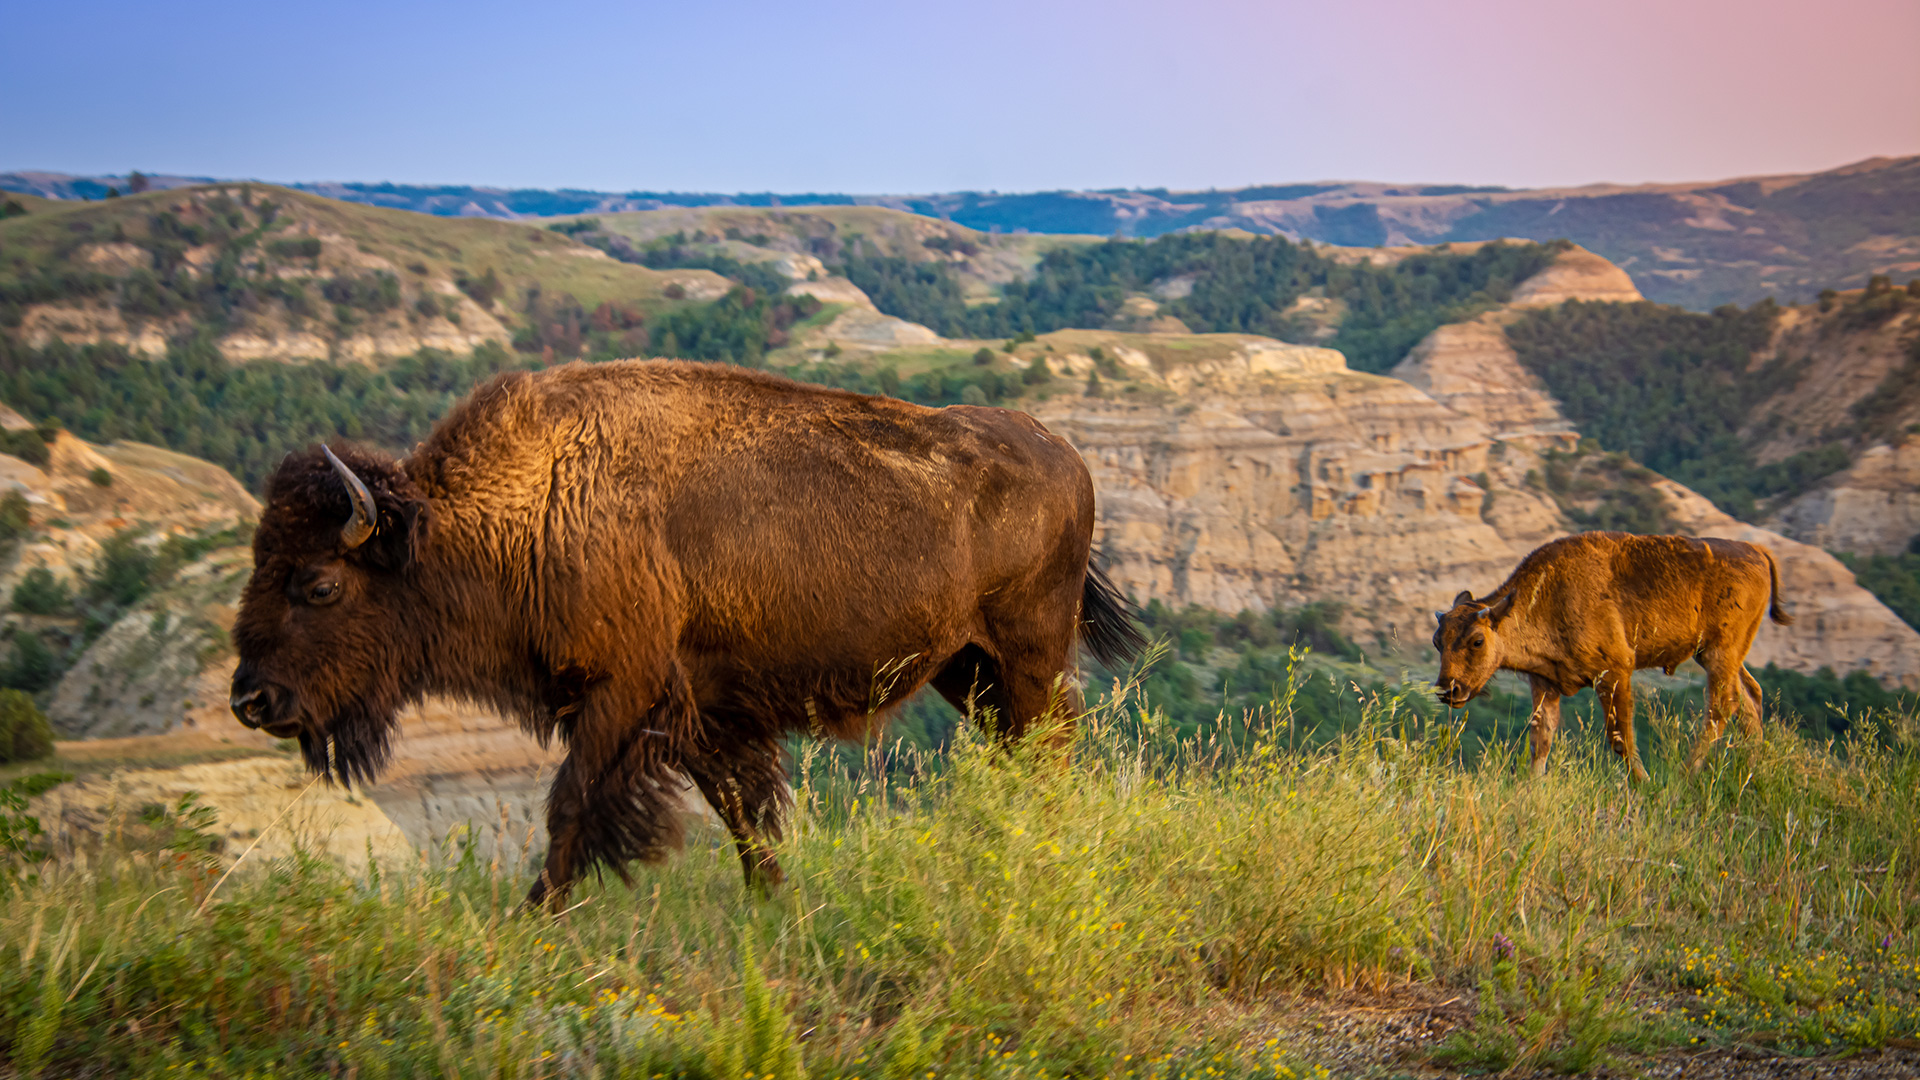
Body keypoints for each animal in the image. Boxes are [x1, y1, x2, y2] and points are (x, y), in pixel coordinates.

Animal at [230, 360, 1144, 906]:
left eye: (318, 584)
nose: (250, 700)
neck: (533, 502)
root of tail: (1065, 451)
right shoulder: (700, 710)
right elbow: (741, 811)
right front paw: (771, 900)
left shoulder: (623, 694)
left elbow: (572, 806)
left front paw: (535, 917)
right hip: (966, 666)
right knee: (1024, 744)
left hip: (1025, 651)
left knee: (1049, 742)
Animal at [1432, 531, 1792, 780]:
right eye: (1437, 641)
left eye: (1477, 640)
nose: (1448, 689)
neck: (1545, 594)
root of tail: (1757, 550)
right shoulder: (1545, 683)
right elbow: (1540, 739)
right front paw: (1530, 787)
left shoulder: (1614, 674)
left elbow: (1621, 738)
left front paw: (1644, 783)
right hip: (1718, 655)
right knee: (1750, 700)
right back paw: (1752, 772)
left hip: (1721, 652)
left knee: (1722, 706)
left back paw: (1685, 776)